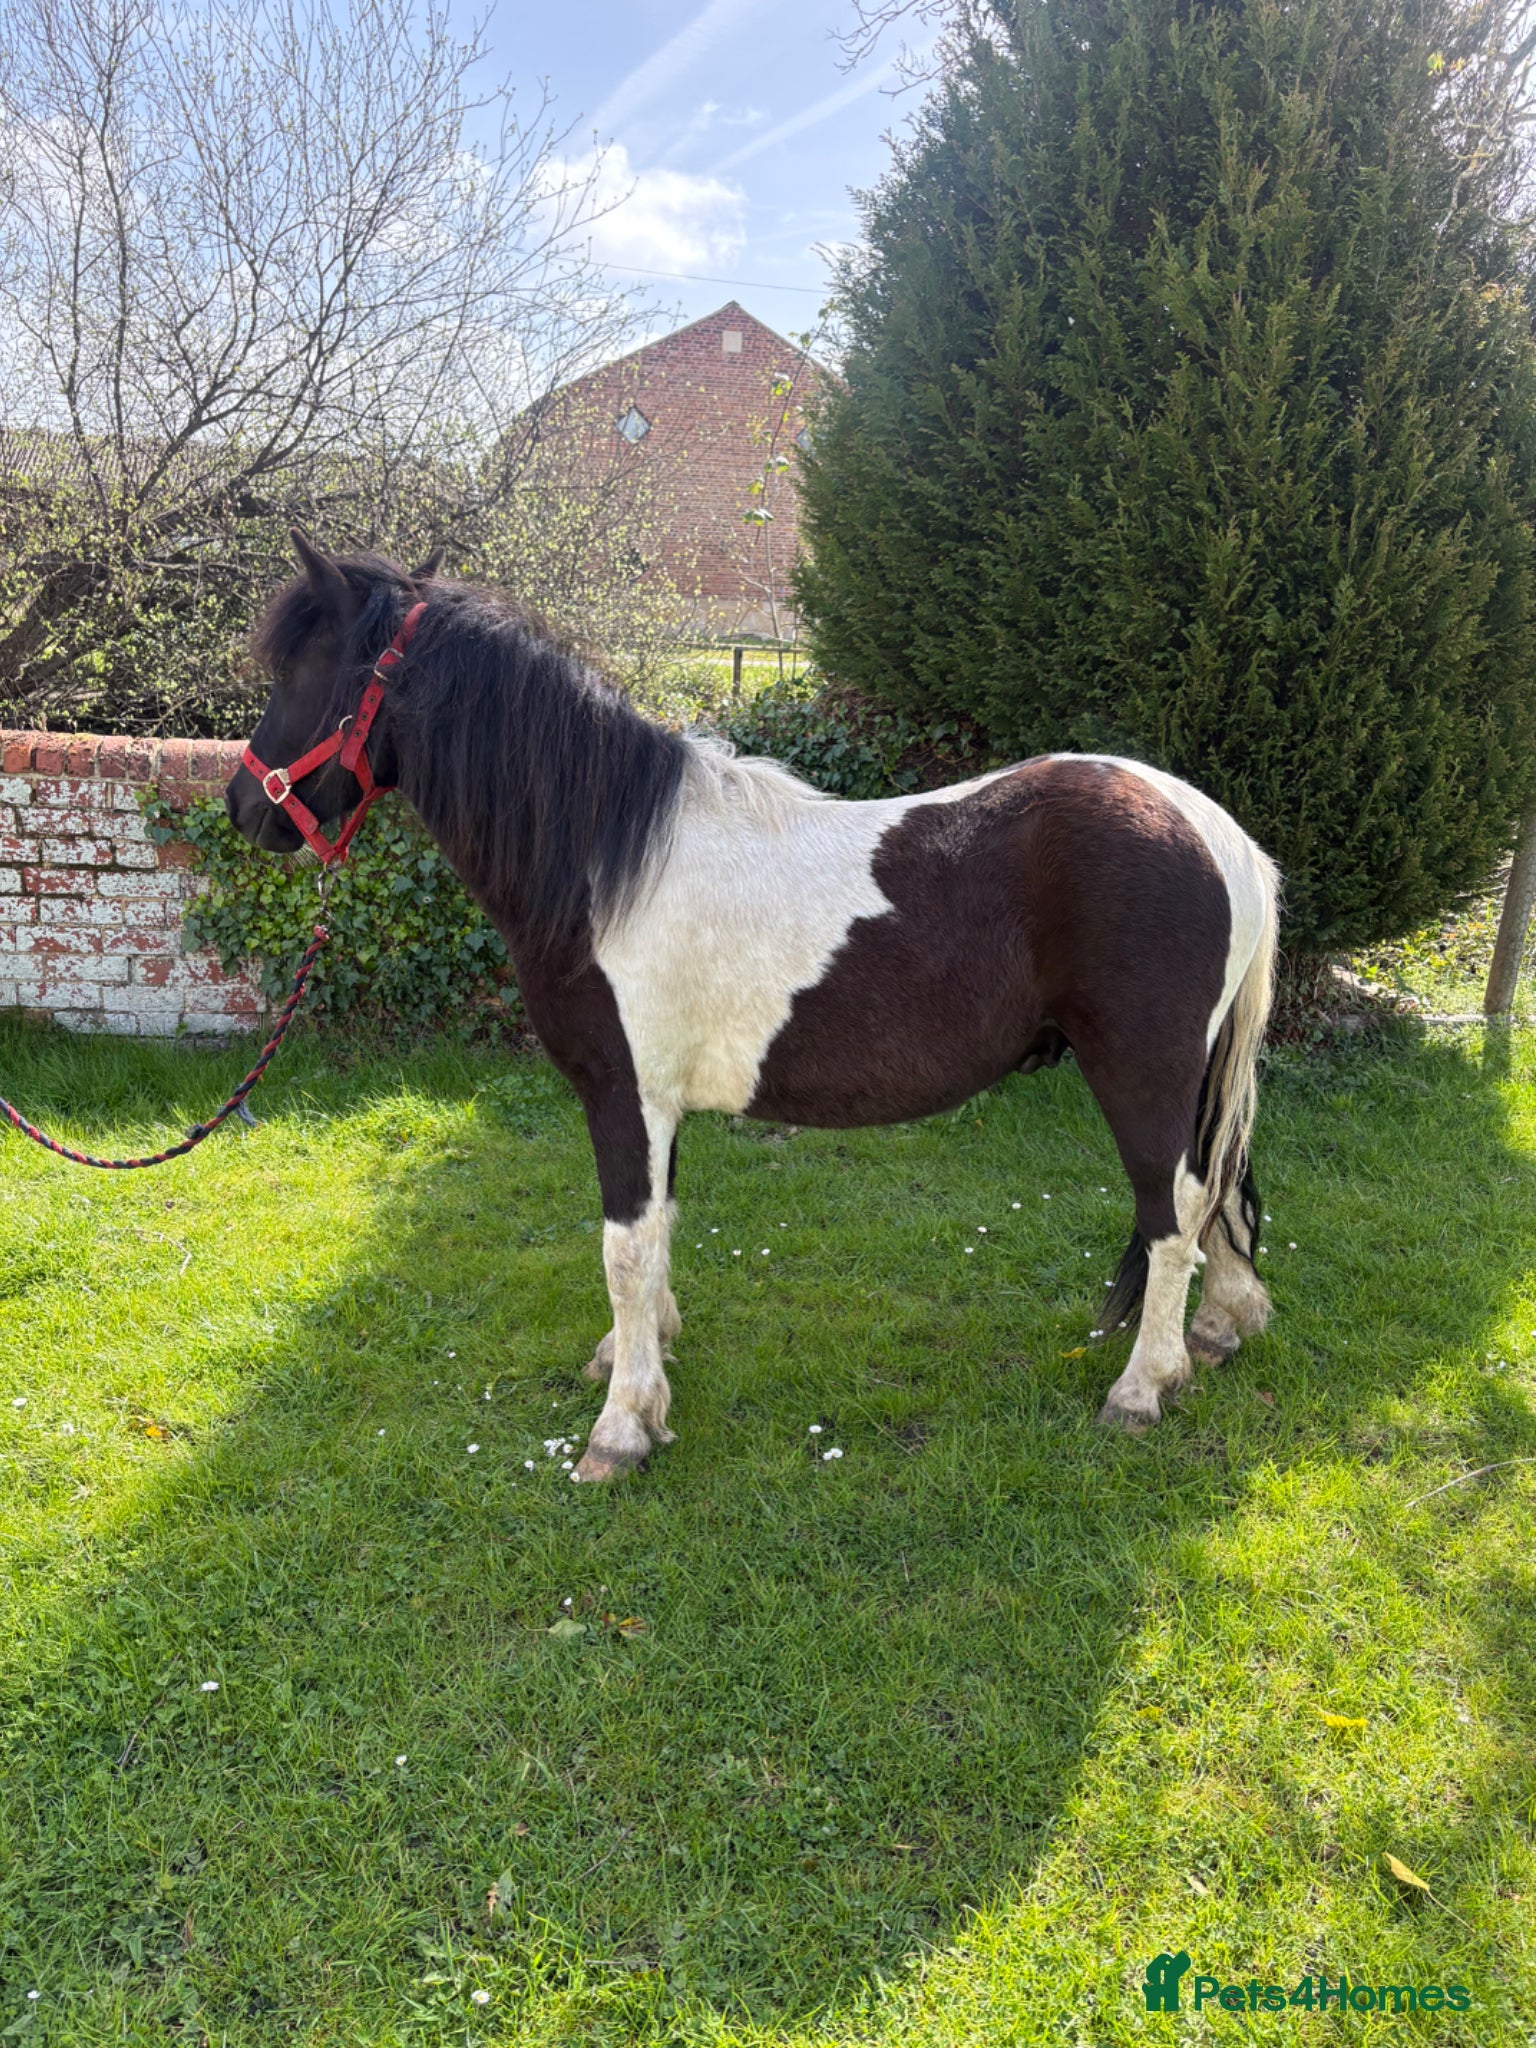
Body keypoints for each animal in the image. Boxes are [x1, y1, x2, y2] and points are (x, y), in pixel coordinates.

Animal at [226, 533, 1281, 1481]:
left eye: (302, 670)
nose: (245, 806)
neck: (608, 859)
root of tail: (1220, 833)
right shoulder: (658, 1108)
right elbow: (658, 1235)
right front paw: (639, 1358)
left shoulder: (625, 1097)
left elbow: (624, 1247)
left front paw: (622, 1429)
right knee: (1218, 1188)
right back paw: (1223, 1328)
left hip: (1142, 1073)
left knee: (1174, 1210)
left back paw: (1142, 1388)